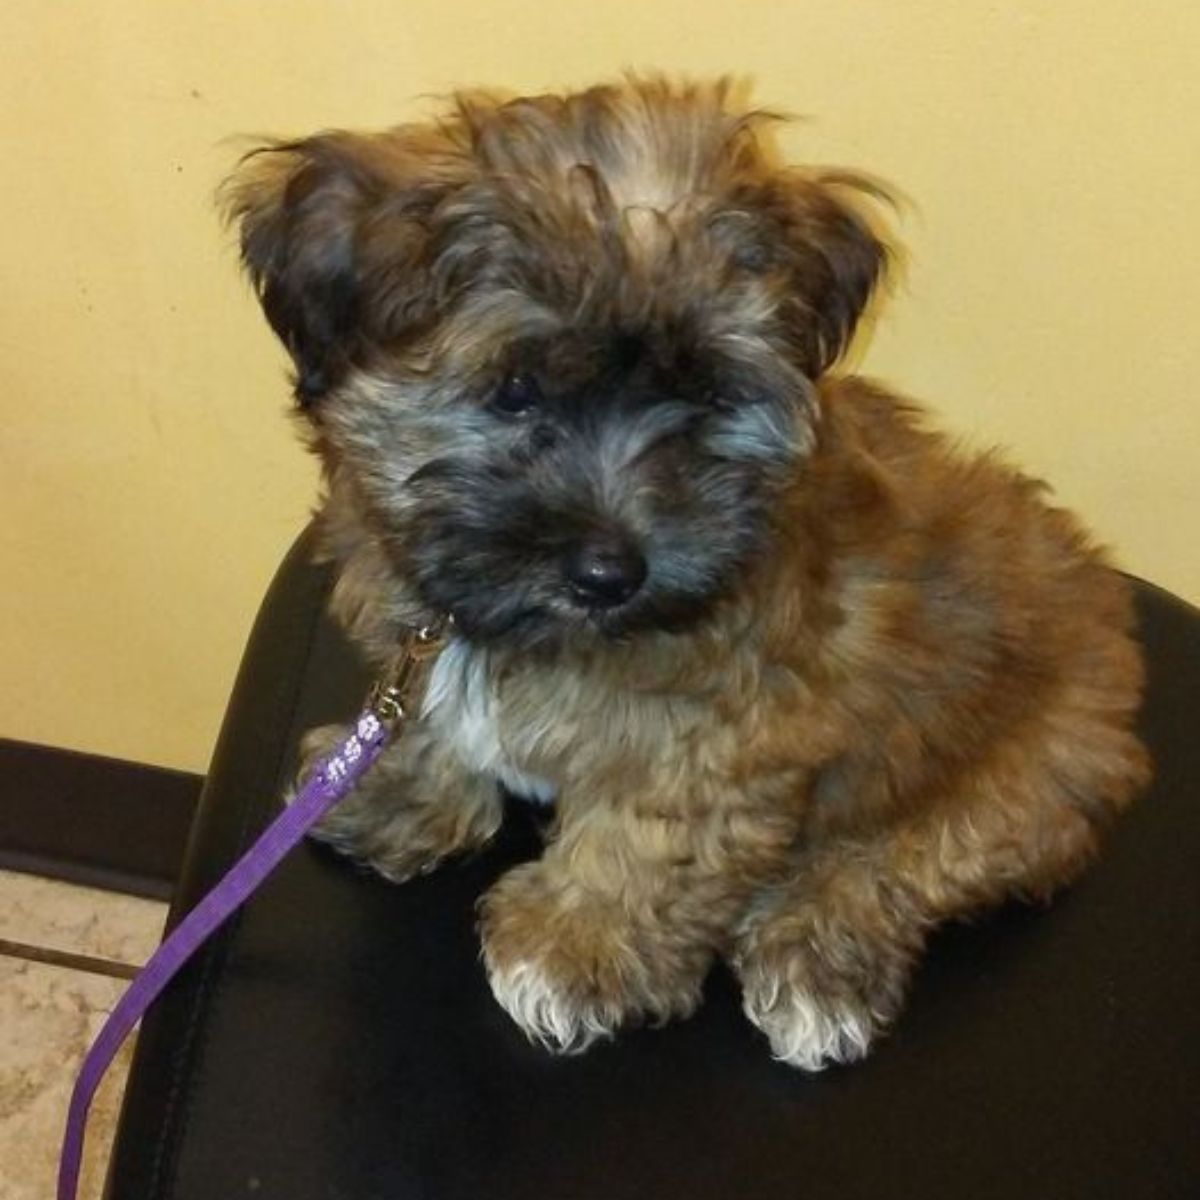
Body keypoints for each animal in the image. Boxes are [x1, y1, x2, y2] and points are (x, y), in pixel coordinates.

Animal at [220, 77, 1147, 1070]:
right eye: (515, 389)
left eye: (704, 393)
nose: (610, 572)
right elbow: (436, 720)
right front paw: (401, 790)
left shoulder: (729, 734)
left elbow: (651, 843)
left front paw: (578, 949)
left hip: (1035, 769)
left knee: (904, 859)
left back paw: (816, 959)